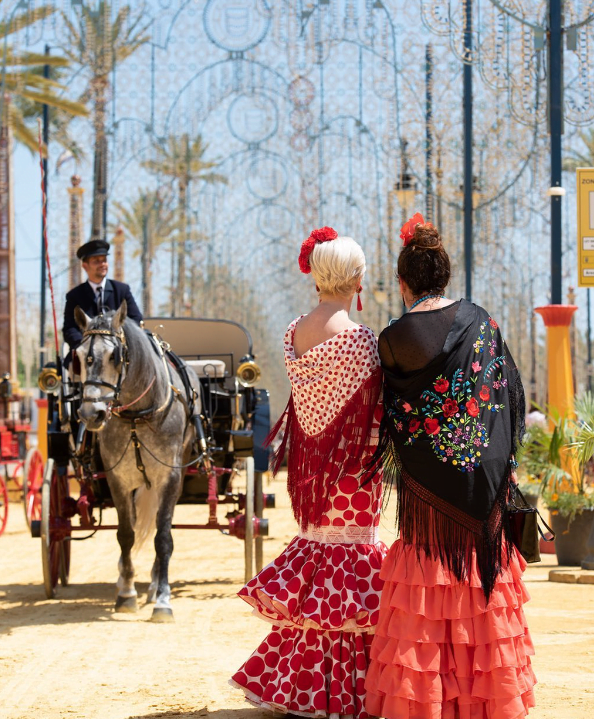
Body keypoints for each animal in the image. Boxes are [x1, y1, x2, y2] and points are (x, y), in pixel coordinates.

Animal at [73, 300, 199, 620]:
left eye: (115, 355)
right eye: (78, 356)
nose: (91, 414)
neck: (136, 416)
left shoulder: (169, 478)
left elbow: (163, 538)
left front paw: (163, 599)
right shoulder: (118, 481)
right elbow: (125, 535)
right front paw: (126, 593)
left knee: (161, 528)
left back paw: (155, 585)